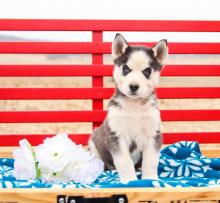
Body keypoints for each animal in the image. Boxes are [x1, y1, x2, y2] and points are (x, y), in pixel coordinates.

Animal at [88, 34, 168, 183]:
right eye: (126, 68)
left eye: (147, 71)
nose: (134, 86)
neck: (135, 106)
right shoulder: (116, 136)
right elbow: (124, 162)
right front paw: (129, 180)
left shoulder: (153, 135)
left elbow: (151, 161)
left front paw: (150, 179)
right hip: (93, 143)